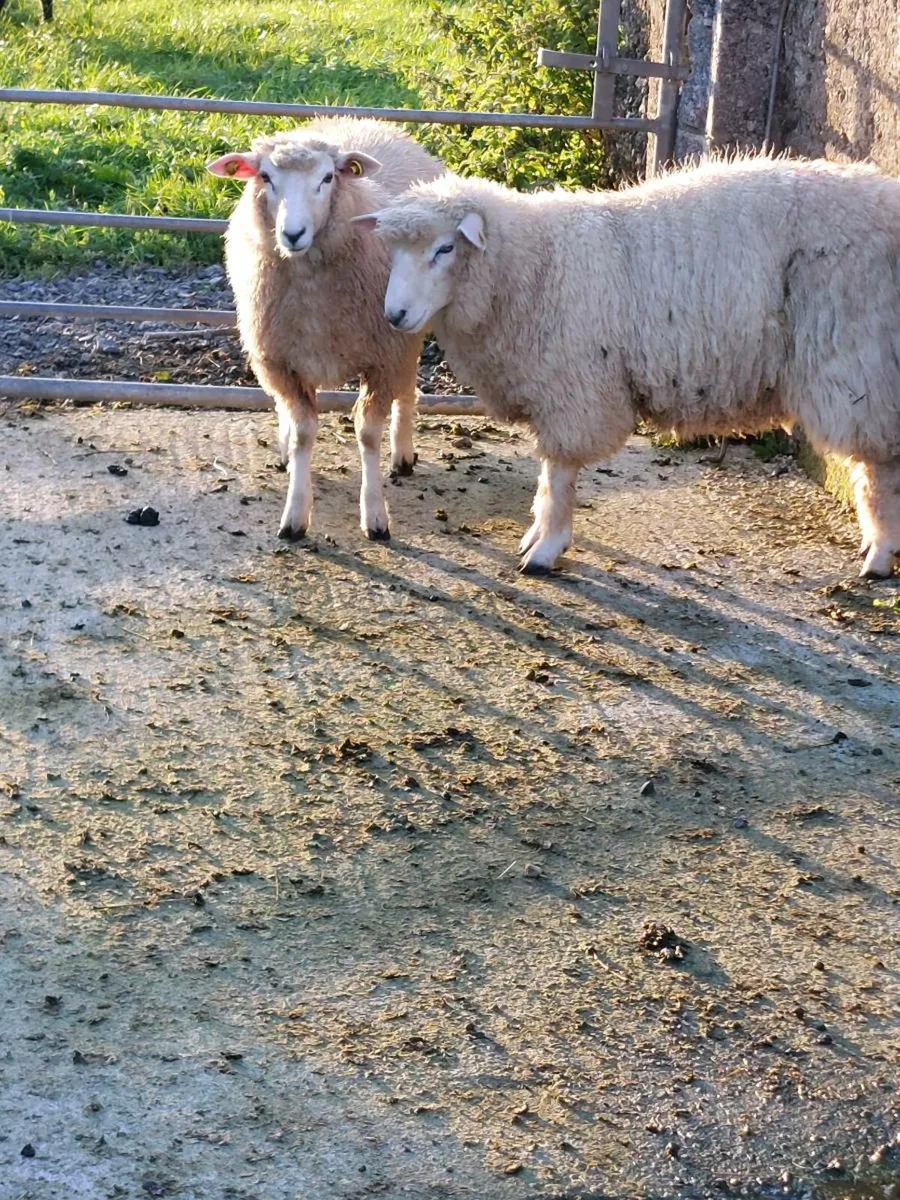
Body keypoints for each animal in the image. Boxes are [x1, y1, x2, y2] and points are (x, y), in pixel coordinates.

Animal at [208, 119, 443, 541]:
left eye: (328, 178)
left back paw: (402, 453)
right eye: (266, 177)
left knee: (407, 388)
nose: (292, 234)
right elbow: (304, 430)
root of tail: (360, 120)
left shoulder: (384, 355)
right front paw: (295, 514)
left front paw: (375, 515)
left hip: (410, 326)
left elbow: (368, 433)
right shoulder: (279, 361)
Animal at [356, 156, 900, 578]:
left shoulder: (573, 386)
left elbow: (559, 473)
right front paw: (536, 534)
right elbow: (548, 475)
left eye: (445, 248)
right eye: (393, 251)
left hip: (859, 362)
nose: (394, 315)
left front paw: (546, 548)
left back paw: (878, 555)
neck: (534, 266)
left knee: (879, 466)